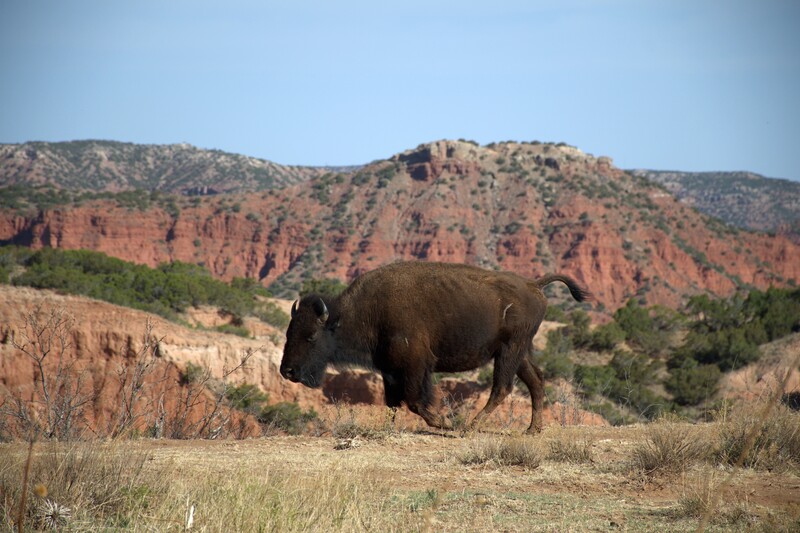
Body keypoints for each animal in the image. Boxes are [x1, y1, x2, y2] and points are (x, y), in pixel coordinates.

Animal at [280, 260, 588, 432]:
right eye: (288, 332)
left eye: (311, 336)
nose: (288, 371)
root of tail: (534, 284)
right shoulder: (389, 370)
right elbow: (392, 403)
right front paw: (388, 429)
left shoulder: (415, 366)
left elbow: (415, 401)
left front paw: (445, 423)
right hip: (518, 352)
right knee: (535, 381)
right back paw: (532, 430)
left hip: (509, 350)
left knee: (502, 387)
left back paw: (470, 426)